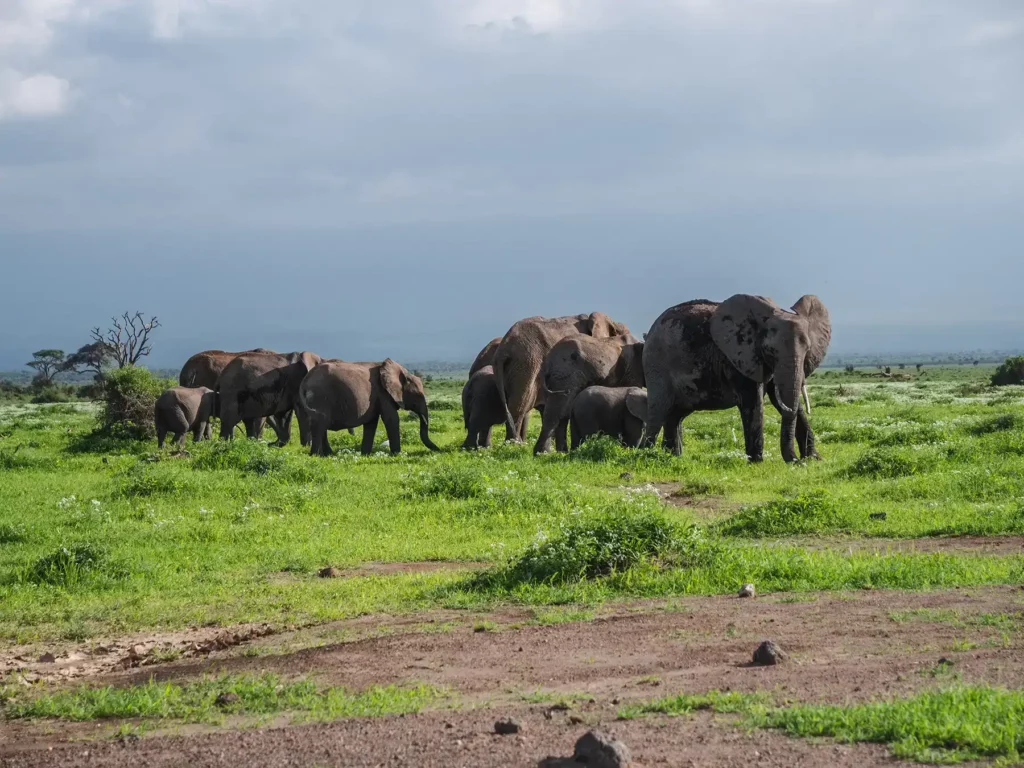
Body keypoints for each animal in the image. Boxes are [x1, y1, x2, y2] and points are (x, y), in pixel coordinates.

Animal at [299, 359, 441, 456]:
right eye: (417, 396)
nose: (438, 449)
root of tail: (305, 381)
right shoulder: (383, 394)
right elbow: (391, 419)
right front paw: (397, 454)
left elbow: (371, 423)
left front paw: (365, 454)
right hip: (320, 397)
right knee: (320, 424)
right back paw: (316, 456)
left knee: (321, 424)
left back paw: (328, 454)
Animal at [642, 294, 830, 462]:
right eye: (770, 351)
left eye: (807, 350)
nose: (796, 460)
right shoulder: (739, 359)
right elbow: (754, 402)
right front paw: (756, 462)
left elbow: (783, 400)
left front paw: (814, 459)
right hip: (656, 364)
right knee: (658, 412)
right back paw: (645, 455)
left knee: (675, 415)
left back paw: (672, 457)